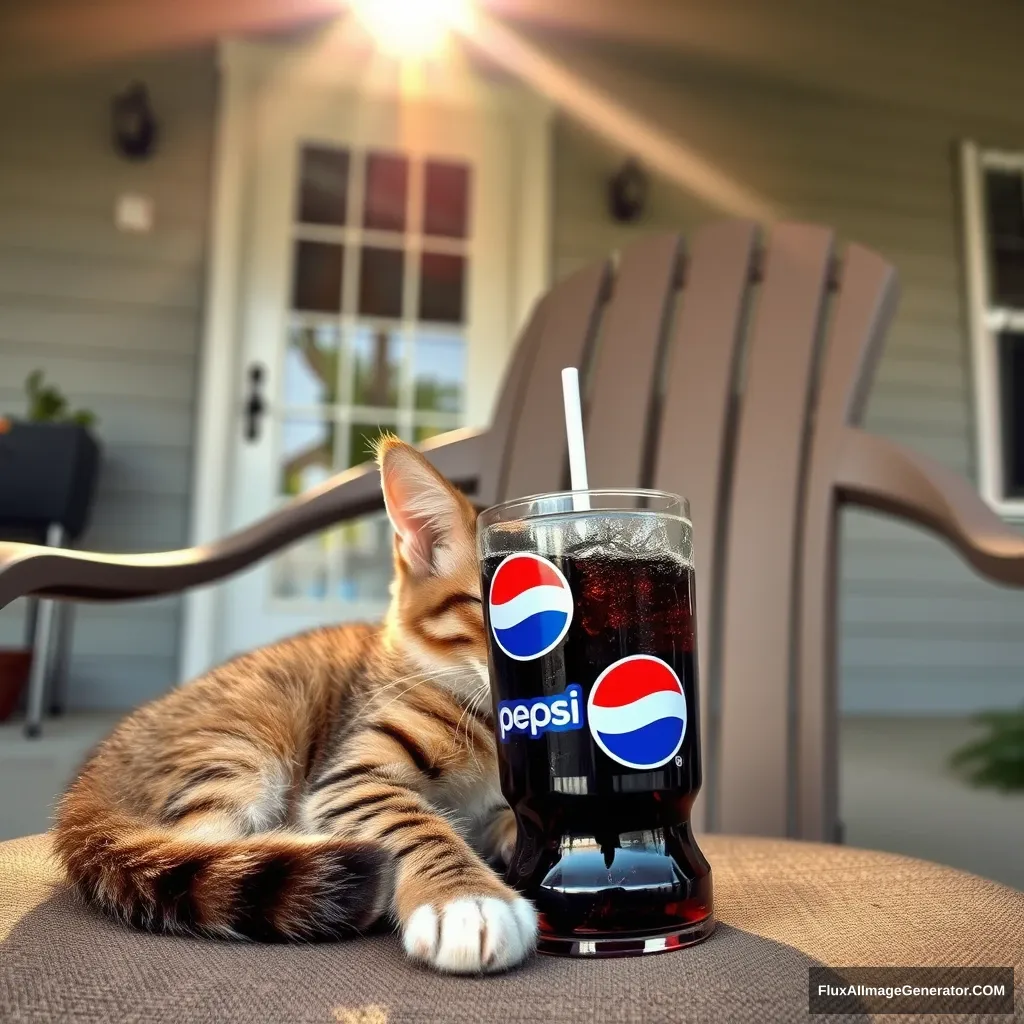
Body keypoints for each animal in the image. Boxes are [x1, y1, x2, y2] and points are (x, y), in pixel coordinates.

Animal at [52, 434, 540, 974]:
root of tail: (94, 776)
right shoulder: (346, 780)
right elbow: (413, 822)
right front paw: (466, 898)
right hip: (244, 741)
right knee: (194, 845)